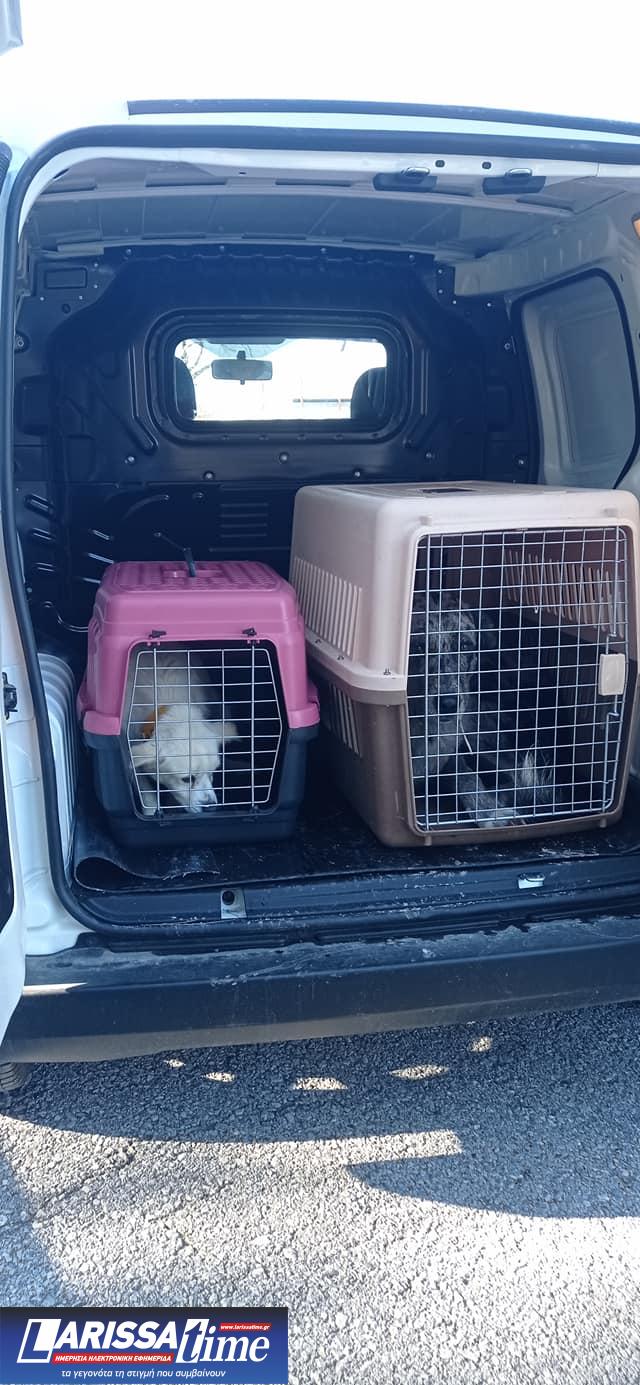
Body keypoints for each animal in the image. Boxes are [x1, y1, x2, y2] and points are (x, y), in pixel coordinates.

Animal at [409, 592, 554, 826]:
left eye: (465, 645)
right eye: (418, 647)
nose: (448, 704)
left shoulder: (451, 754)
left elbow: (467, 776)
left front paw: (488, 810)